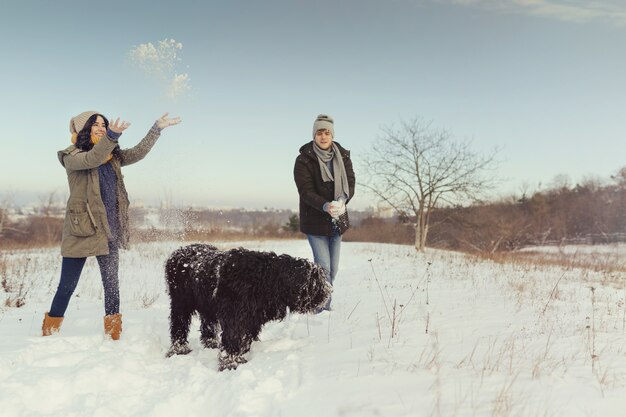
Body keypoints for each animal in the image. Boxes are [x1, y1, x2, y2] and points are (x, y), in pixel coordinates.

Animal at [166, 242, 332, 368]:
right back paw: (179, 349)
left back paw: (211, 343)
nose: (329, 290)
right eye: (315, 280)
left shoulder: (253, 318)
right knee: (178, 325)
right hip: (180, 303)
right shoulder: (233, 316)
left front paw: (242, 353)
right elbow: (233, 338)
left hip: (206, 306)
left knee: (207, 325)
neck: (266, 279)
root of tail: (177, 252)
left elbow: (246, 337)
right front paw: (231, 362)